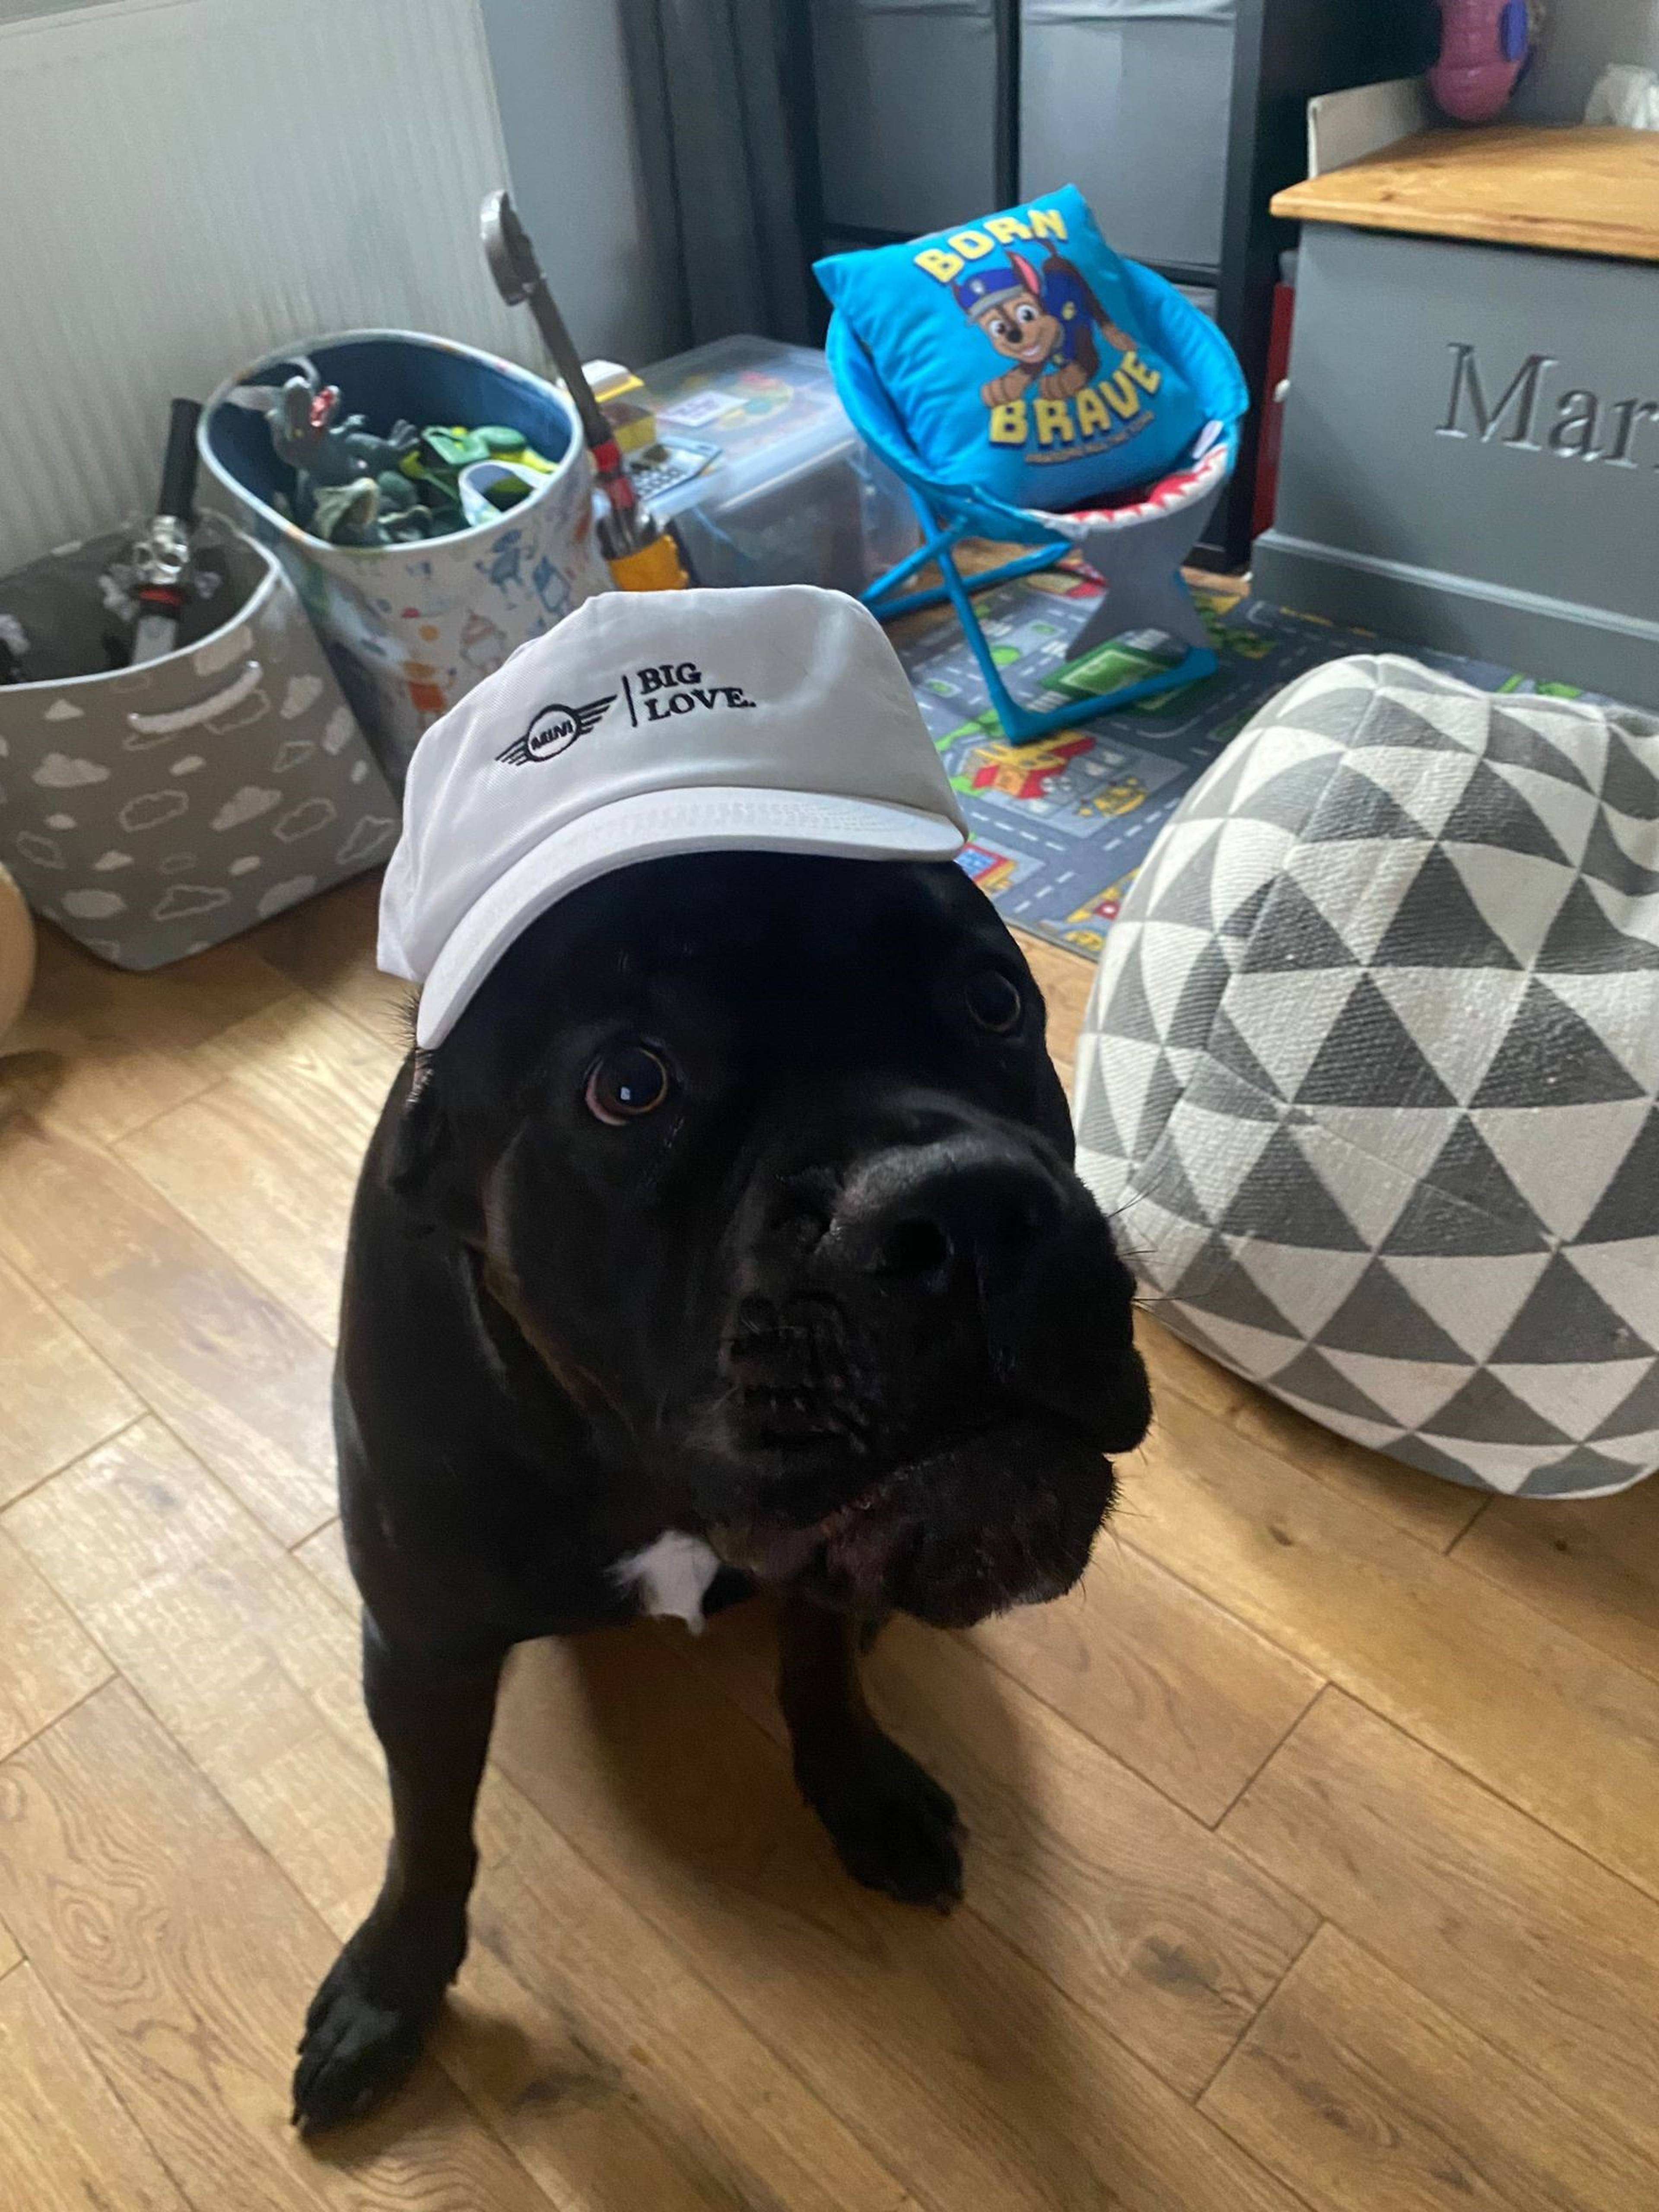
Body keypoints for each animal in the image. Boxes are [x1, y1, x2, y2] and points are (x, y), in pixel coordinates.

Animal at [290, 591, 1151, 2135]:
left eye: (995, 1002)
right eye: (629, 1086)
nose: (960, 1209)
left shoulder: (826, 1562)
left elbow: (820, 1671)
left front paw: (861, 1786)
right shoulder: (423, 1648)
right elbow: (428, 1826)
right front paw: (392, 1986)